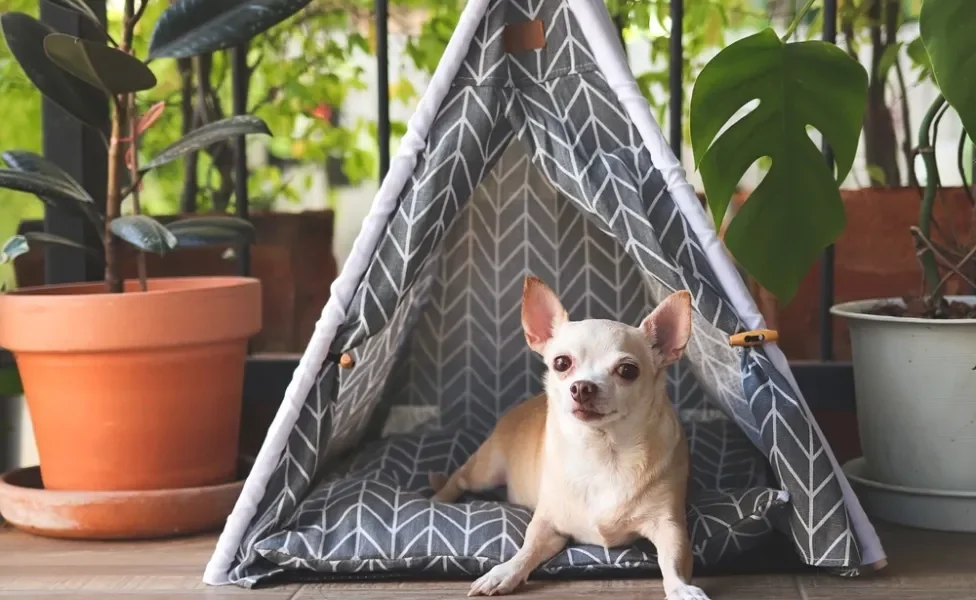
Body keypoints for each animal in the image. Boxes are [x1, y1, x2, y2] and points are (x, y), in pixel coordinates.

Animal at [430, 276, 704, 600]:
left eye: (627, 370)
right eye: (562, 363)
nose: (583, 387)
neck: (604, 451)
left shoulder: (670, 526)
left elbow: (671, 561)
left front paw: (682, 589)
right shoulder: (548, 525)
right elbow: (526, 550)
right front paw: (504, 572)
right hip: (485, 471)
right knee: (458, 478)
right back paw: (438, 499)